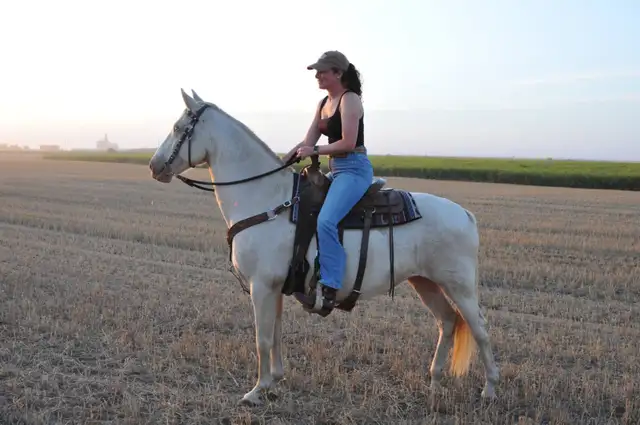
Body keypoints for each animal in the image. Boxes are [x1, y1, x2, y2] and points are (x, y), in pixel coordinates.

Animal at [148, 89, 500, 406]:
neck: (266, 199)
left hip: (458, 286)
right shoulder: (275, 287)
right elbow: (276, 334)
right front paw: (274, 381)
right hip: (424, 282)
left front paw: (255, 392)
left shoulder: (261, 286)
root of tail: (465, 214)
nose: (154, 166)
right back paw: (435, 381)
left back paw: (489, 389)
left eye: (179, 128)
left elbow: (262, 338)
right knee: (448, 322)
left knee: (480, 329)